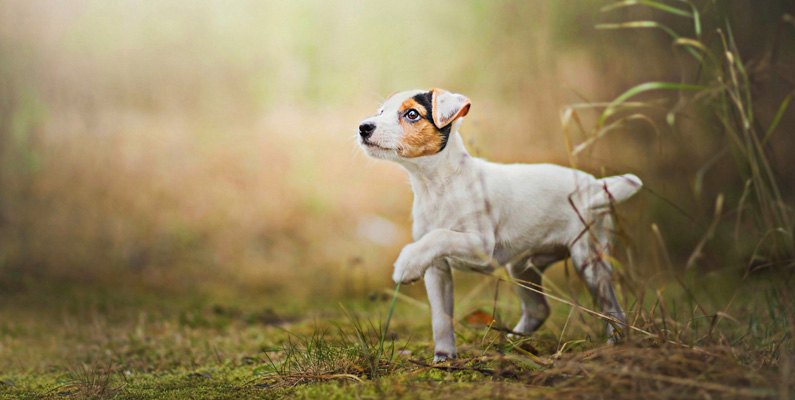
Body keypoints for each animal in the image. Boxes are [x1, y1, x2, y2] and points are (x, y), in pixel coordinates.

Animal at [358, 90, 644, 362]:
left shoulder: (481, 246)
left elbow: (440, 235)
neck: (438, 186)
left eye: (412, 114)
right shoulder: (438, 270)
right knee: (538, 309)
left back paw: (613, 343)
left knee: (614, 310)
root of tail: (596, 184)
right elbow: (441, 317)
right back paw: (511, 342)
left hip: (589, 260)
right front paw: (444, 356)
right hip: (522, 266)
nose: (364, 127)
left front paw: (406, 264)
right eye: (380, 111)